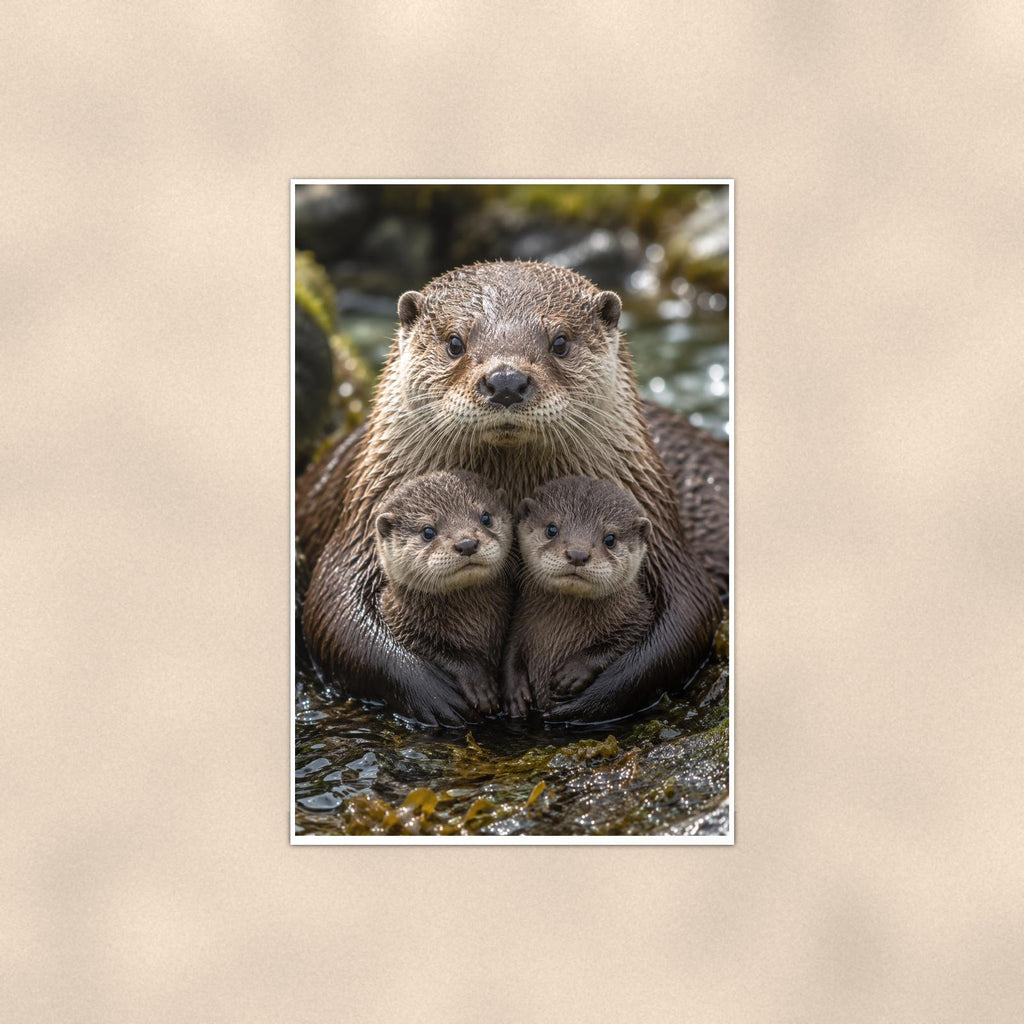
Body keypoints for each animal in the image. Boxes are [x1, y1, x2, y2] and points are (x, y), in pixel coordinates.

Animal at [374, 471, 513, 715]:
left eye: (486, 517)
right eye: (428, 531)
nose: (467, 543)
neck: (474, 623)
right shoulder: (401, 624)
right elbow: (441, 652)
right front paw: (479, 685)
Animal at [503, 477, 655, 717]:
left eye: (610, 539)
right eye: (552, 529)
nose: (577, 554)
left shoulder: (640, 614)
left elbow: (621, 641)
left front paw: (573, 672)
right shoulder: (519, 620)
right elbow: (510, 652)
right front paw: (514, 692)